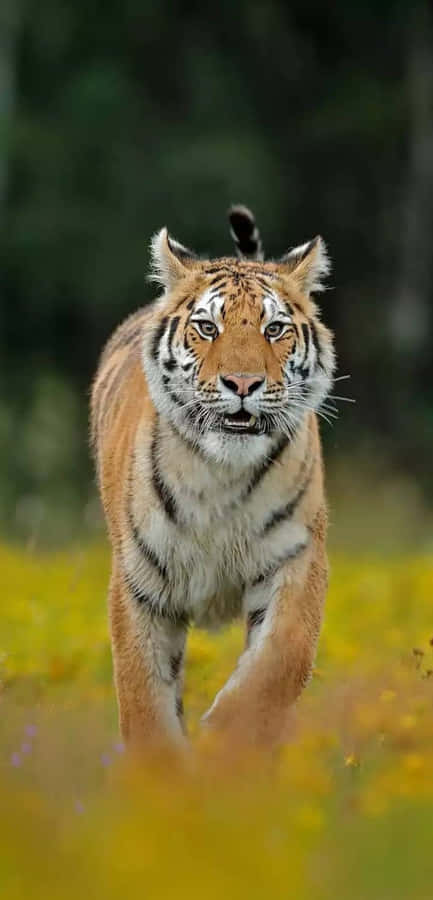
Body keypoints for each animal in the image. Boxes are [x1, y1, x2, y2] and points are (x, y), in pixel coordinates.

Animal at [90, 205, 335, 753]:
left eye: (274, 329)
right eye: (206, 327)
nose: (242, 384)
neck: (220, 473)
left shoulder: (296, 560)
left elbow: (276, 664)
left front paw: (228, 745)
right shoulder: (139, 586)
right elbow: (143, 699)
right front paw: (164, 773)